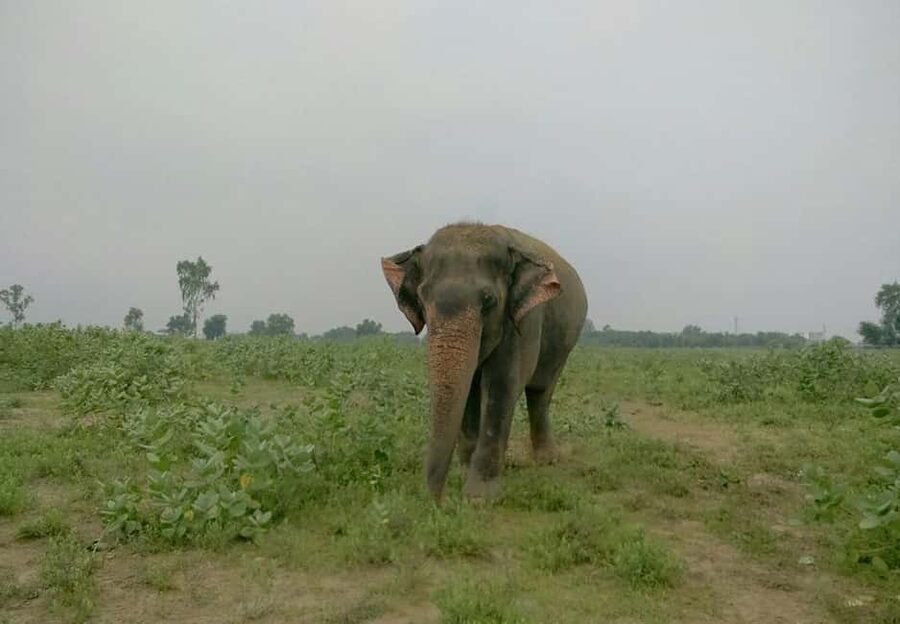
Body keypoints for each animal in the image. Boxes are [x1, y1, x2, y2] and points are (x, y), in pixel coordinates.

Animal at [381, 223, 587, 500]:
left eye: (489, 300)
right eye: (422, 299)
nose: (436, 501)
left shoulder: (524, 319)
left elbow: (502, 384)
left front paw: (478, 498)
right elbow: (469, 389)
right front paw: (462, 475)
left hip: (564, 344)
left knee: (540, 392)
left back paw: (547, 460)